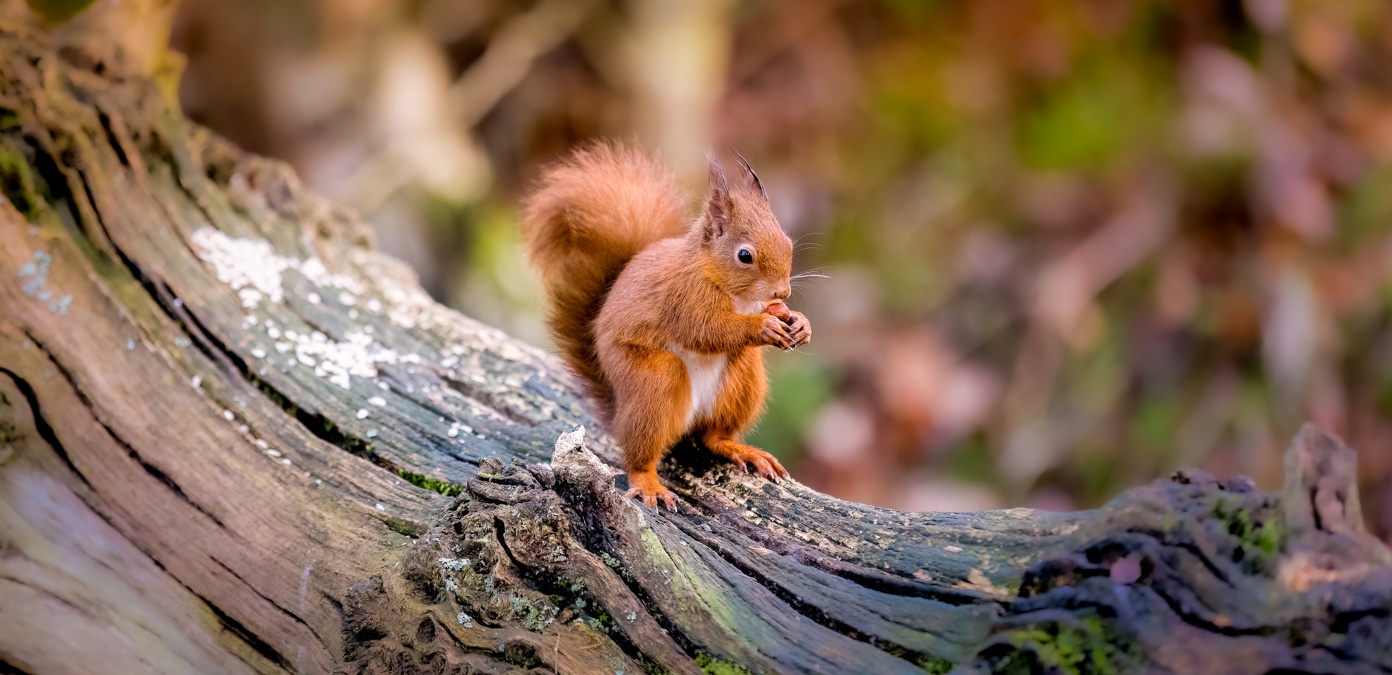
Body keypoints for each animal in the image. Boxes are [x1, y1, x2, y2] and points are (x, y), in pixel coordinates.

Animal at [521, 142, 811, 509]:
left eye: (788, 242)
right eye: (745, 256)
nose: (782, 291)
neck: (737, 294)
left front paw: (800, 323)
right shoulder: (682, 299)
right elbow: (706, 331)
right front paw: (762, 326)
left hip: (744, 379)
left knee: (712, 436)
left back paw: (741, 449)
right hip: (653, 380)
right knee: (641, 452)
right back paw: (650, 484)